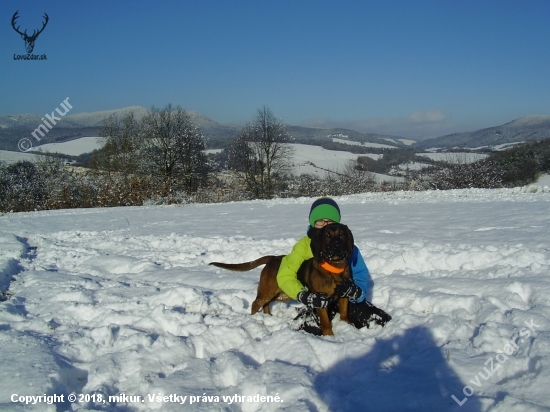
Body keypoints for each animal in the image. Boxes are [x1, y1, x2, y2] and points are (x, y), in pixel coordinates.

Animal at [209, 222, 356, 334]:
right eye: (327, 236)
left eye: (341, 235)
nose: (336, 245)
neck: (335, 268)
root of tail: (272, 258)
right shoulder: (321, 300)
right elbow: (325, 322)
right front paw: (329, 336)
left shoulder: (344, 296)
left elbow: (344, 314)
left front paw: (348, 327)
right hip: (266, 291)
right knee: (256, 303)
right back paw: (255, 319)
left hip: (279, 294)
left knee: (266, 304)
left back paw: (268, 317)